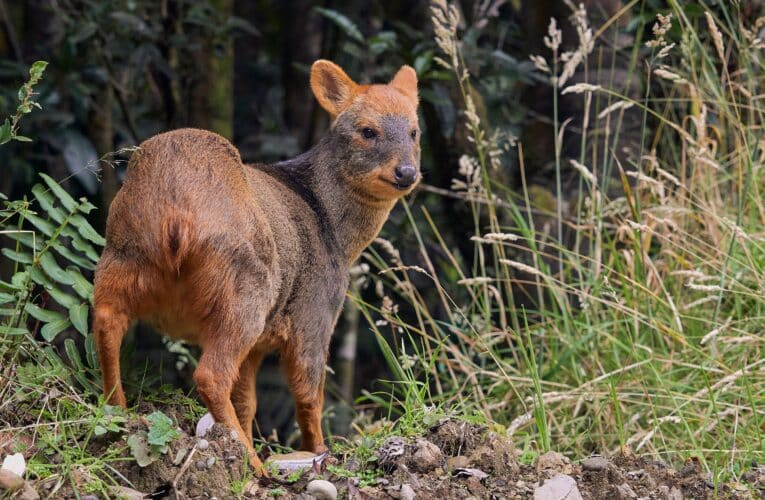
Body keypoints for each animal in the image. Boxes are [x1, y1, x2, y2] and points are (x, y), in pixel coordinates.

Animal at [92, 60, 420, 470]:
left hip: (122, 254)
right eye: (367, 131)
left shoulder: (260, 343)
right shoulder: (315, 313)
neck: (336, 232)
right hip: (245, 288)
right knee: (210, 374)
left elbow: (248, 400)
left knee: (106, 321)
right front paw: (319, 451)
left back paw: (117, 413)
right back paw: (254, 465)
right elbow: (308, 395)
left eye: (414, 131)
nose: (407, 172)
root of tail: (176, 209)